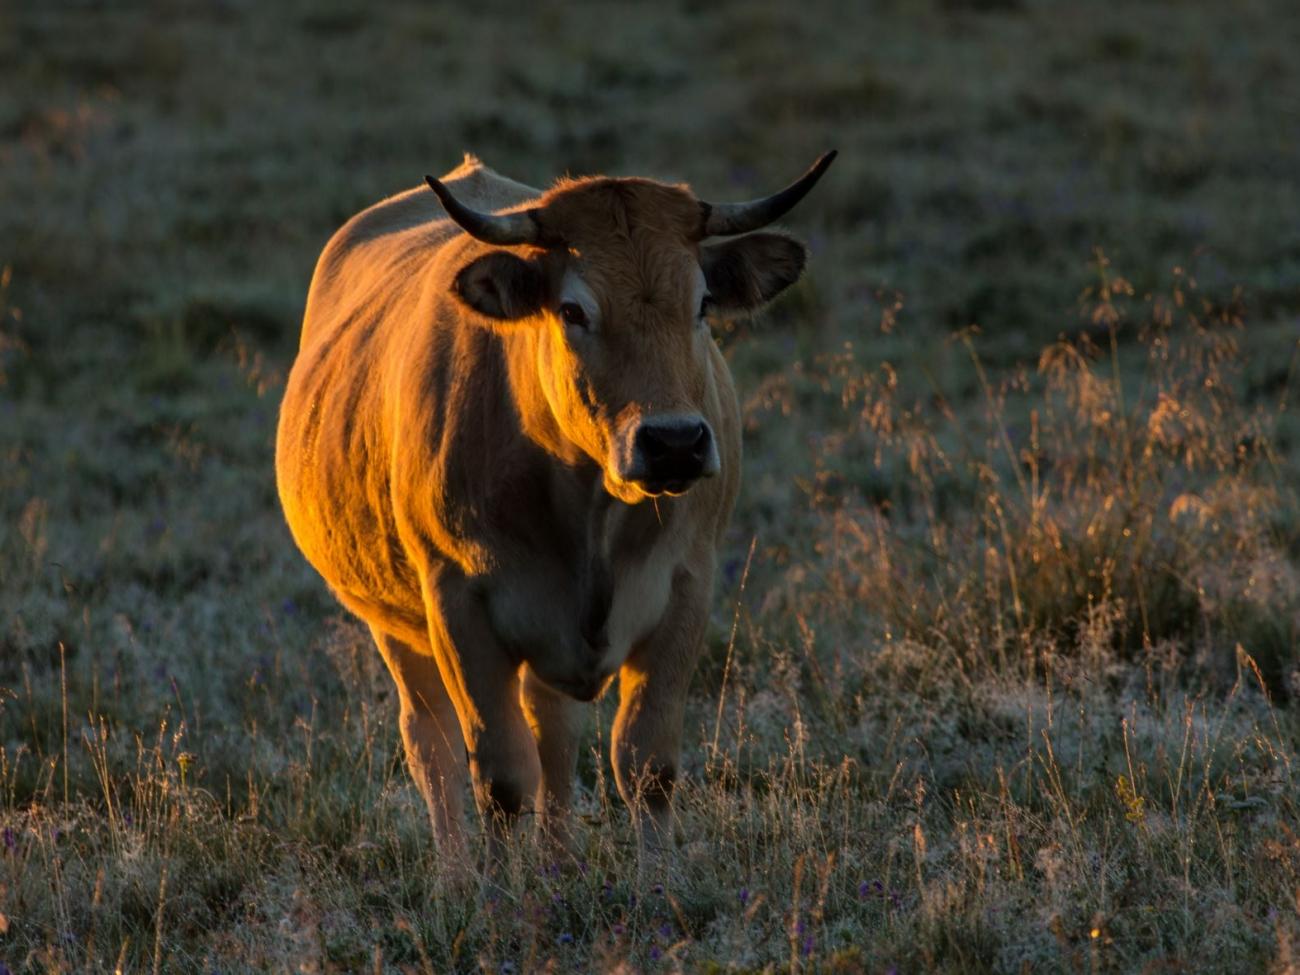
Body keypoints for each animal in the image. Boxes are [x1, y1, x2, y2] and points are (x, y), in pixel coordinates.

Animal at [275, 150, 836, 862]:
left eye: (703, 302)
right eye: (572, 310)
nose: (674, 443)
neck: (590, 512)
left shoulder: (688, 588)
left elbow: (645, 765)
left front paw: (659, 881)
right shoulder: (459, 608)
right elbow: (501, 778)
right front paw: (498, 891)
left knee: (555, 732)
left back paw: (559, 862)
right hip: (392, 622)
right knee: (431, 742)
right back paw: (457, 873)